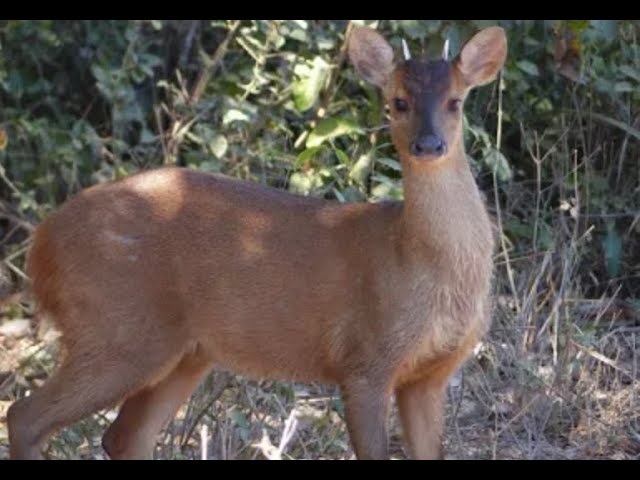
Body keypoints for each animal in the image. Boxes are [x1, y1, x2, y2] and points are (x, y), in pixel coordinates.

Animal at [7, 25, 507, 460]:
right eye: (398, 102)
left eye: (456, 101)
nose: (428, 145)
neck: (415, 257)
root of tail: (42, 244)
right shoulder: (366, 359)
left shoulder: (431, 375)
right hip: (116, 327)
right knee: (24, 416)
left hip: (185, 351)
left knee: (123, 436)